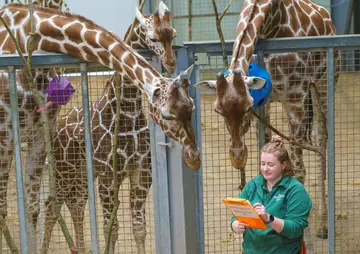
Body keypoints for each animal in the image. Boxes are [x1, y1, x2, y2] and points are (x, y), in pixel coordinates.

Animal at [0, 2, 200, 252]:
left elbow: (138, 228)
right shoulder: (108, 175)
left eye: (192, 106)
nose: (194, 158)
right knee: (52, 206)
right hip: (63, 172)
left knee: (71, 204)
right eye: (166, 114)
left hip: (79, 175)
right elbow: (110, 228)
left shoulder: (142, 173)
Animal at [194, 0, 338, 238]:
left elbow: (299, 170)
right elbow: (266, 147)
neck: (273, 20)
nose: (237, 157)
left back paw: (323, 225)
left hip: (324, 81)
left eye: (247, 107)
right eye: (217, 111)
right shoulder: (266, 101)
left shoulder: (295, 96)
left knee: (320, 138)